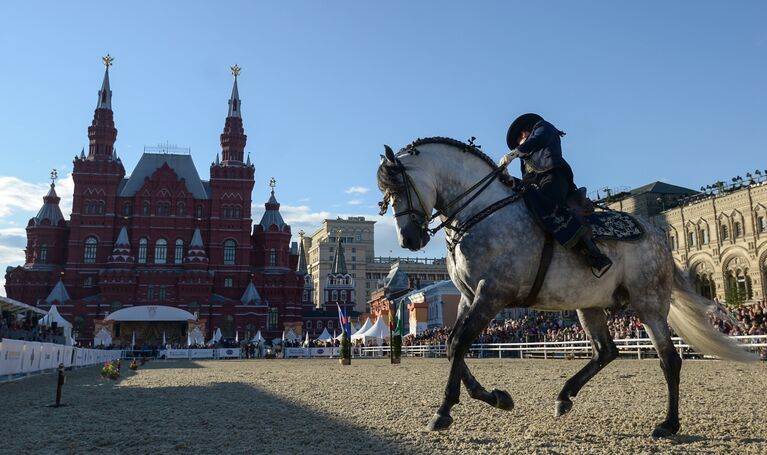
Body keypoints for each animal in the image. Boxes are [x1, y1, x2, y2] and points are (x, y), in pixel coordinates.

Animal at [378, 138, 756, 438]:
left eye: (399, 187)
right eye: (385, 197)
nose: (409, 239)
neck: (483, 213)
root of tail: (657, 236)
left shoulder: (492, 295)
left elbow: (458, 344)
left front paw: (444, 411)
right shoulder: (468, 298)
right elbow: (450, 345)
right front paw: (499, 398)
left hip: (648, 303)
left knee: (669, 360)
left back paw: (668, 424)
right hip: (589, 305)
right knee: (606, 352)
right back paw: (564, 397)